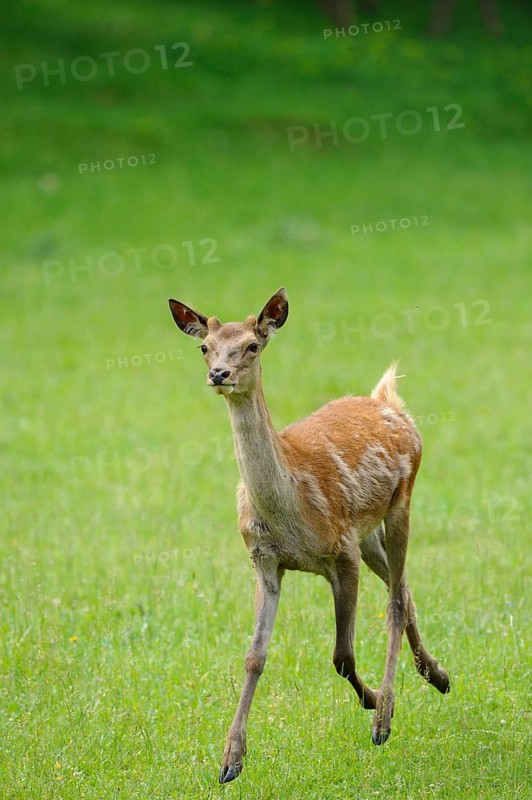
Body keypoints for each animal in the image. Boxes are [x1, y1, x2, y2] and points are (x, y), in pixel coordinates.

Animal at [168, 288, 450, 784]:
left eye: (252, 345)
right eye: (205, 346)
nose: (219, 374)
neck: (290, 511)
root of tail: (390, 402)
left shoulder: (341, 551)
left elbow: (342, 655)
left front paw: (372, 702)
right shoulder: (264, 562)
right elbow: (254, 656)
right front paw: (230, 759)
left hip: (401, 503)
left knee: (396, 600)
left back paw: (385, 716)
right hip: (368, 533)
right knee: (405, 590)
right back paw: (438, 677)